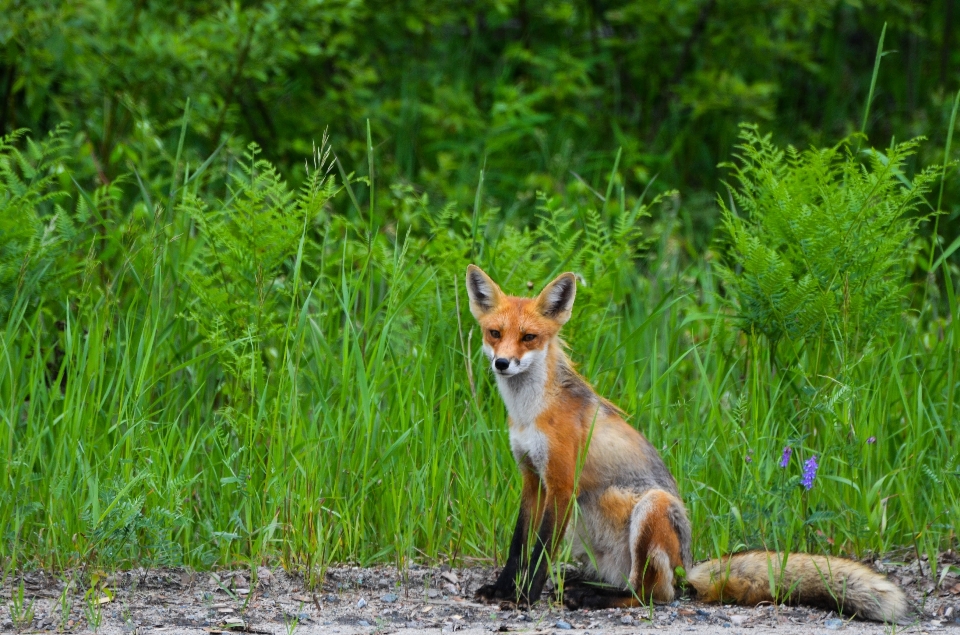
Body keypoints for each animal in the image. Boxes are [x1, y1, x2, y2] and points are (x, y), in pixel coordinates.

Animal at [468, 266, 912, 624]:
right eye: (495, 334)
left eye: (529, 337)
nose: (501, 363)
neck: (530, 412)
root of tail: (689, 566)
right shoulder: (531, 477)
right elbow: (518, 544)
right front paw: (503, 589)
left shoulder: (560, 484)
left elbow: (540, 552)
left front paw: (525, 598)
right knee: (636, 585)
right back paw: (586, 587)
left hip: (653, 507)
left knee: (653, 595)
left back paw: (593, 598)